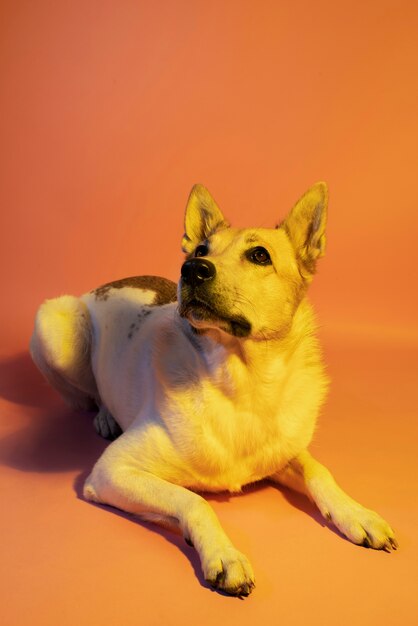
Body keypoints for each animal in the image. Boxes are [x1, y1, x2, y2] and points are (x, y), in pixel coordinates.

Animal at [31, 182, 396, 596]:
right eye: (201, 251)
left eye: (259, 255)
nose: (191, 268)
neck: (241, 384)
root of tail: (108, 283)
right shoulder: (113, 471)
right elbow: (192, 500)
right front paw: (225, 555)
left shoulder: (286, 450)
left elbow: (320, 471)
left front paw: (357, 514)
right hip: (54, 325)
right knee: (87, 394)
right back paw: (106, 415)